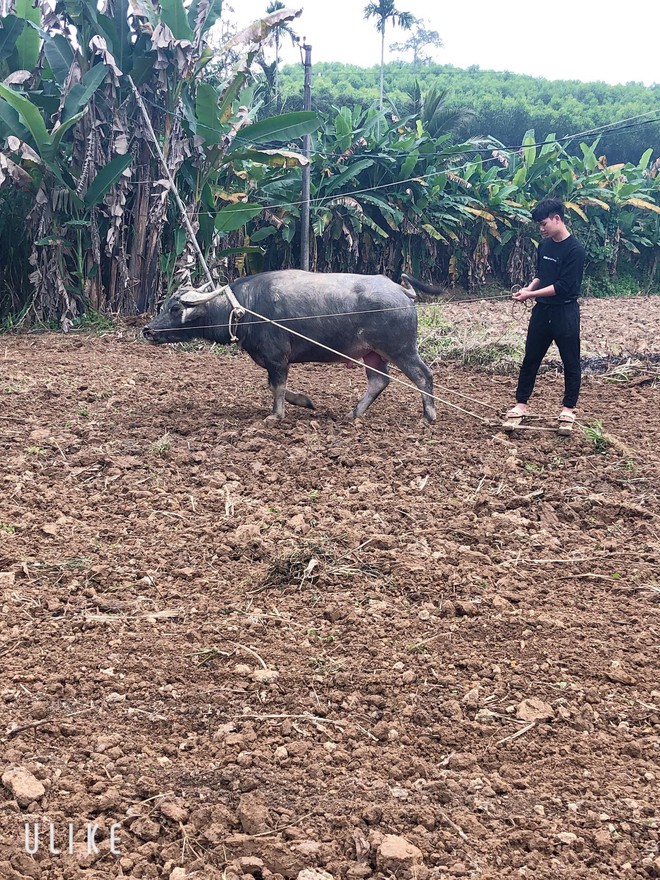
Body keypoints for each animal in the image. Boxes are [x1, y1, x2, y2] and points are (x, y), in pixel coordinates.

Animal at [142, 272, 436, 422]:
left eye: (176, 308)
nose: (148, 330)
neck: (245, 309)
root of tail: (401, 292)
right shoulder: (272, 360)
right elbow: (274, 386)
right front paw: (305, 401)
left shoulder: (276, 358)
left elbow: (278, 386)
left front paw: (276, 415)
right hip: (372, 354)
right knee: (378, 381)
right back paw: (352, 413)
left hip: (400, 349)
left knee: (423, 376)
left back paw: (428, 415)